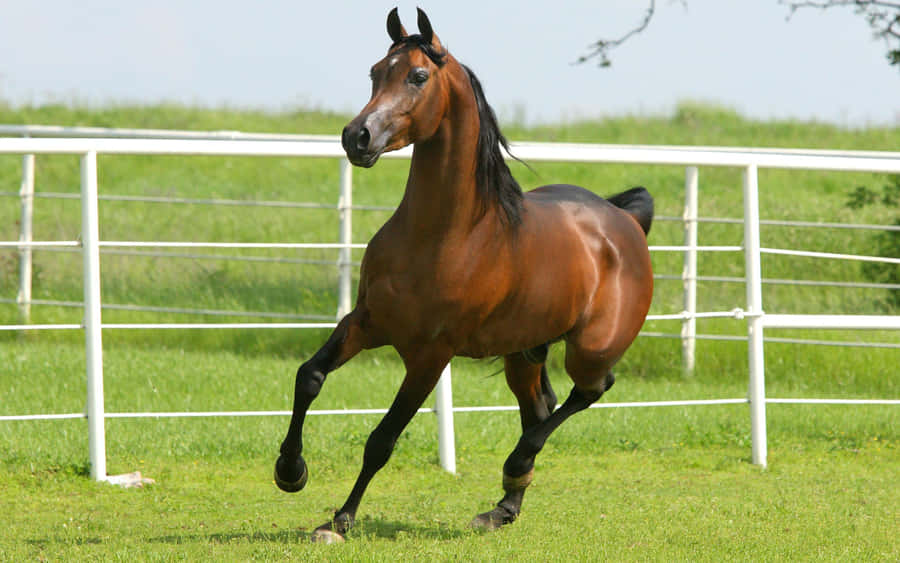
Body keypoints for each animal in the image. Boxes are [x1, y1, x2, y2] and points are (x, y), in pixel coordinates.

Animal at [274, 8, 654, 543]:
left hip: (590, 348)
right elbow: (308, 376)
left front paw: (340, 520)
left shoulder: (431, 355)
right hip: (523, 352)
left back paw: (515, 468)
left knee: (589, 391)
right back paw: (503, 507)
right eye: (375, 72)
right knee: (539, 407)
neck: (443, 236)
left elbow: (382, 439)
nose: (357, 137)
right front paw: (291, 471)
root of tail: (625, 220)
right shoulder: (366, 322)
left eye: (418, 76)